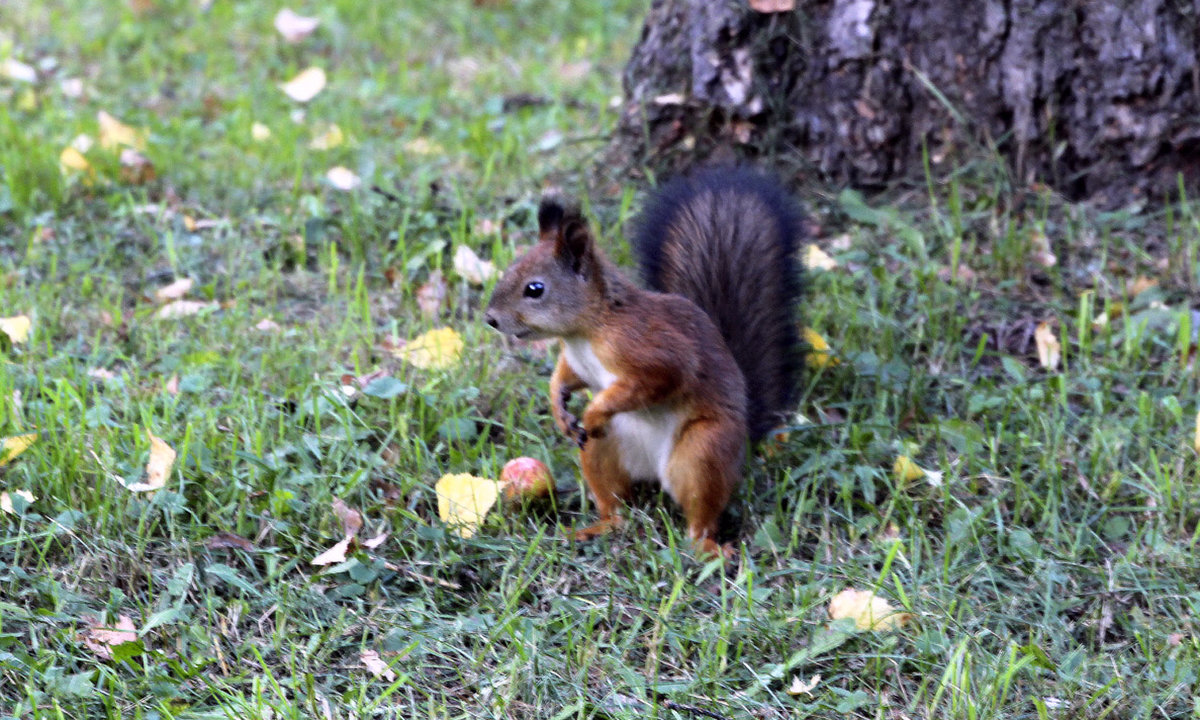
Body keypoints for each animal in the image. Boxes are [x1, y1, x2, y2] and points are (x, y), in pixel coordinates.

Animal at [482, 166, 801, 556]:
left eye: (535, 289)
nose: (491, 319)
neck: (585, 332)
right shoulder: (577, 363)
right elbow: (564, 378)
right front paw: (559, 409)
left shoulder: (652, 351)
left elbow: (658, 379)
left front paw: (593, 411)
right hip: (600, 450)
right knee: (617, 505)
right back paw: (596, 527)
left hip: (703, 451)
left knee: (700, 516)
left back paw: (708, 547)